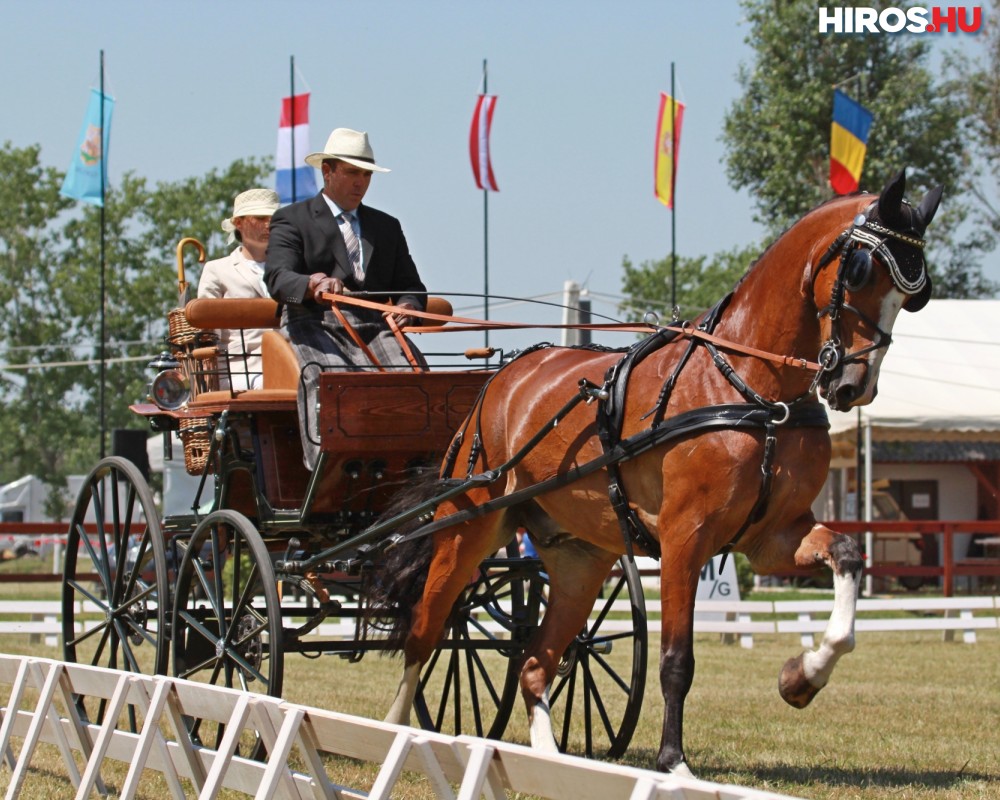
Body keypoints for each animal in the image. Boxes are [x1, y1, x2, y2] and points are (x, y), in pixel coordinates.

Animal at [366, 169, 936, 776]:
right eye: (860, 270)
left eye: (915, 295)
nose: (854, 386)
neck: (754, 390)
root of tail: (504, 377)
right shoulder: (686, 538)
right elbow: (676, 658)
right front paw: (674, 763)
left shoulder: (771, 538)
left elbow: (848, 560)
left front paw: (801, 678)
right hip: (467, 530)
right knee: (425, 633)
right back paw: (393, 734)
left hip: (579, 559)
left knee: (537, 663)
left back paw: (553, 761)